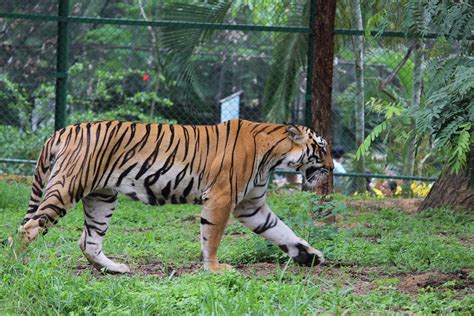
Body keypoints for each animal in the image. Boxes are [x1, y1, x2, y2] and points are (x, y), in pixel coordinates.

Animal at [8, 119, 334, 272]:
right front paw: (215, 269)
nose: (331, 169)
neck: (273, 155)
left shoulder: (250, 205)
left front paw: (310, 255)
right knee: (26, 229)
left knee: (88, 241)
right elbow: (212, 237)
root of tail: (64, 129)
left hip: (102, 197)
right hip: (67, 188)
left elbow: (281, 231)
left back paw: (114, 269)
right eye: (322, 148)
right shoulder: (222, 198)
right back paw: (15, 264)